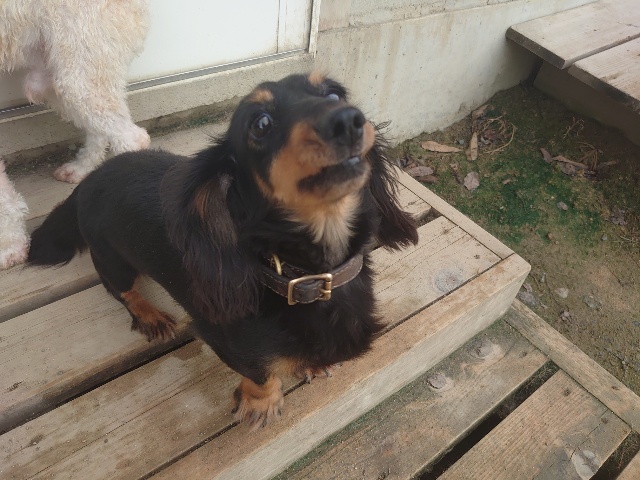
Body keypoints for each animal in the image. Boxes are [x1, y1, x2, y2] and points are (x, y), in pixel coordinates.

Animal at [0, 0, 150, 269]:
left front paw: (9, 245)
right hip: (58, 76)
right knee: (100, 130)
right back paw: (80, 169)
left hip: (80, 67)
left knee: (132, 138)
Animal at [27, 73, 419, 428]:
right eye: (261, 123)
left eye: (335, 94)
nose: (348, 121)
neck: (305, 273)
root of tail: (88, 182)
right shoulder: (221, 335)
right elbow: (260, 372)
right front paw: (262, 402)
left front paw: (313, 361)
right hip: (112, 259)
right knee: (122, 291)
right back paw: (150, 316)